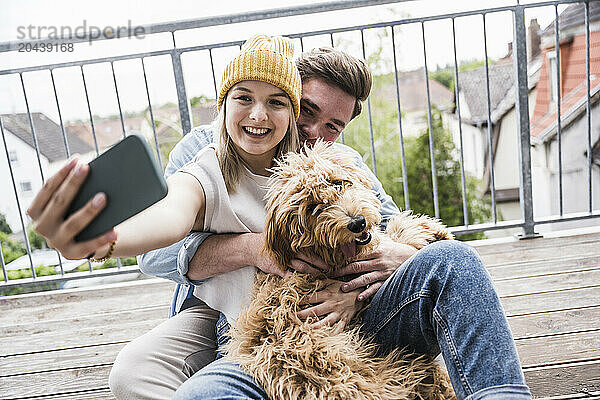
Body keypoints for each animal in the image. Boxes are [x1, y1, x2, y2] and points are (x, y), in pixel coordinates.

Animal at [227, 142, 458, 398]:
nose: (357, 223)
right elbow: (397, 233)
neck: (323, 252)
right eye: (313, 207)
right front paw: (430, 230)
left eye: (338, 183)